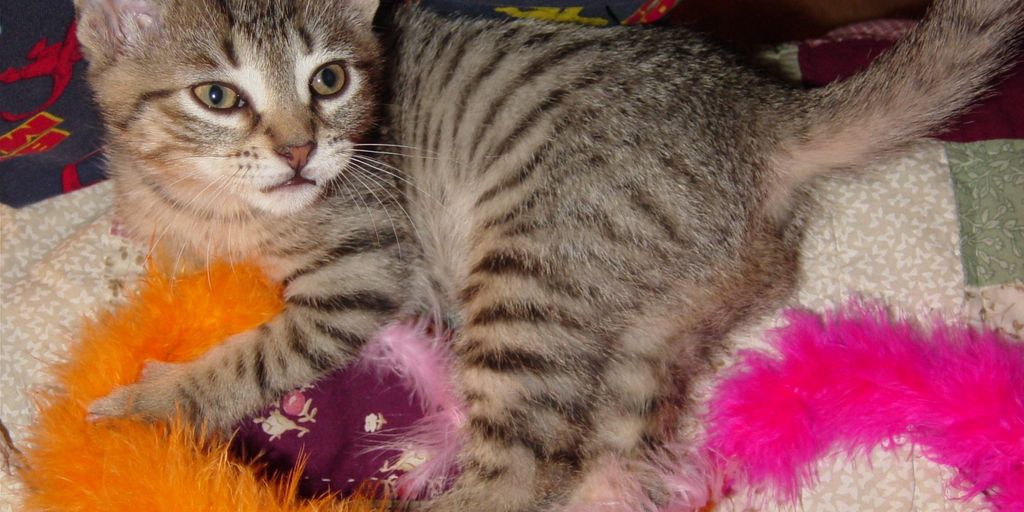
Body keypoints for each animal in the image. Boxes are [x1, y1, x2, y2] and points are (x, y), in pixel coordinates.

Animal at [75, 0, 1019, 509]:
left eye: (330, 80)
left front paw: (138, 405)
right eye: (217, 96)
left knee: (526, 467)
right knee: (611, 455)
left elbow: (250, 359)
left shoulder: (362, 275)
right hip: (662, 317)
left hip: (530, 268)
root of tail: (759, 113)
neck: (217, 205)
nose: (301, 151)